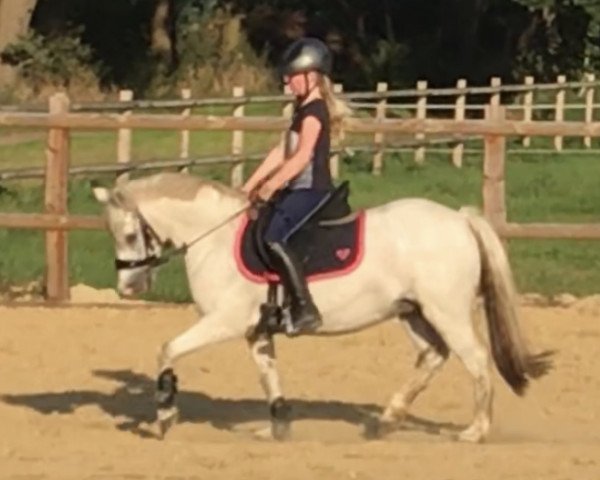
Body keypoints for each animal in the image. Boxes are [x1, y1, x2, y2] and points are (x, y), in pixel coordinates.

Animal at [91, 172, 552, 442]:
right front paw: (277, 425)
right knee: (432, 356)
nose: (127, 287)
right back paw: (387, 420)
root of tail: (458, 219)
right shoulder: (255, 330)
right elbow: (268, 374)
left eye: (130, 235)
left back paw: (475, 431)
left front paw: (165, 414)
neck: (217, 237)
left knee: (476, 360)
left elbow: (167, 349)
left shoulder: (223, 321)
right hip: (413, 312)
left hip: (447, 312)